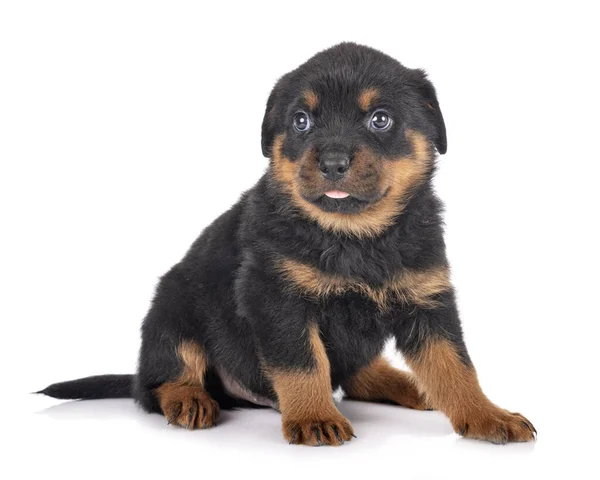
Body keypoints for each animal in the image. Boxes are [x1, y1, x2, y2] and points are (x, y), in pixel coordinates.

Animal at [38, 43, 536, 448]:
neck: (354, 235)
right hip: (172, 309)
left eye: (381, 119)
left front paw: (487, 415)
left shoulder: (427, 299)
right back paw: (189, 399)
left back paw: (409, 384)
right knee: (160, 379)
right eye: (302, 120)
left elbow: (455, 366)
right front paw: (314, 417)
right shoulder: (276, 297)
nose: (333, 162)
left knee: (358, 376)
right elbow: (303, 364)